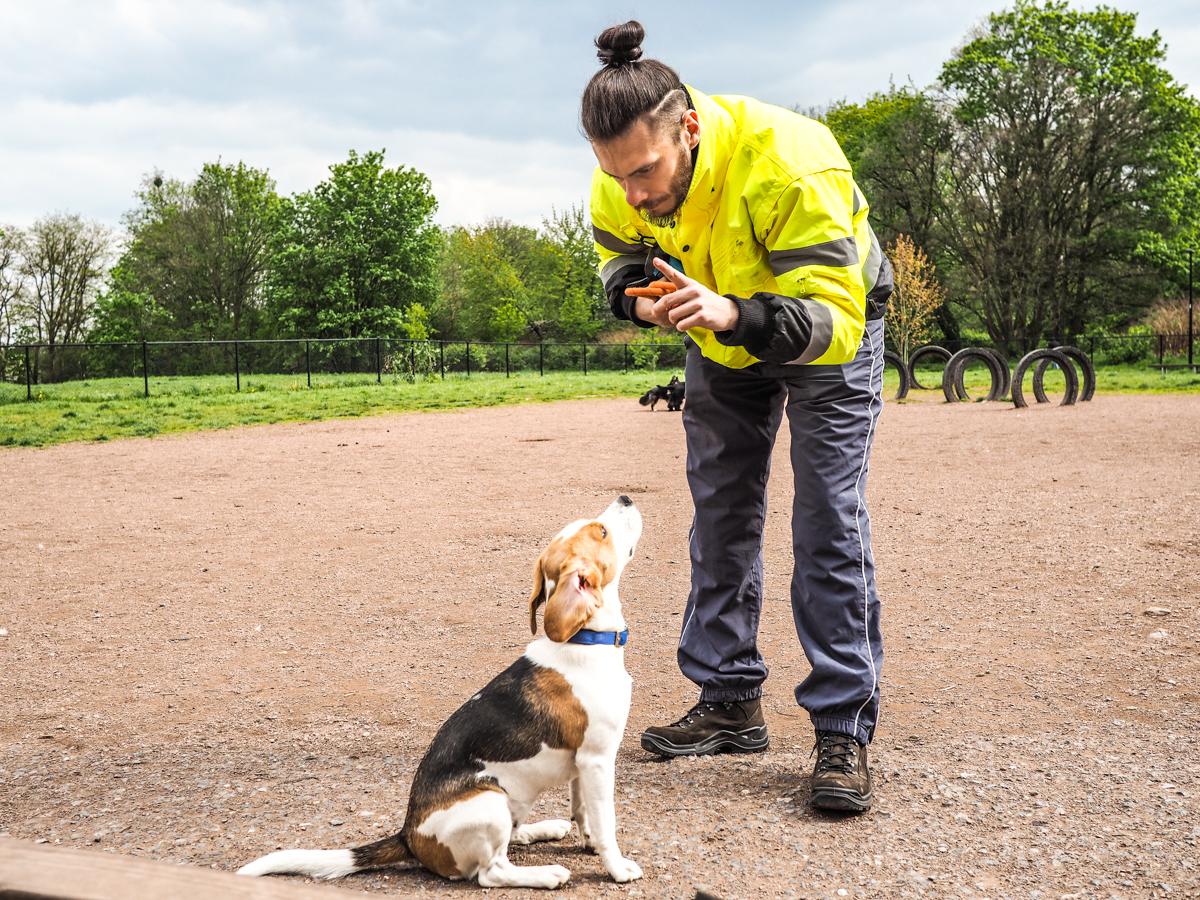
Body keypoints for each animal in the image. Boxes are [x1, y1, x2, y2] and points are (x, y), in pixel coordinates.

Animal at [237, 496, 643, 892]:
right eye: (602, 531)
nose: (625, 497)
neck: (585, 639)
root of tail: (408, 836)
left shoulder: (581, 764)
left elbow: (583, 811)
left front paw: (587, 842)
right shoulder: (597, 760)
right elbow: (606, 823)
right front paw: (616, 867)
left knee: (511, 840)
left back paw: (541, 829)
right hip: (490, 801)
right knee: (490, 873)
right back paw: (545, 875)